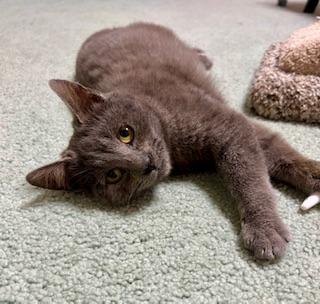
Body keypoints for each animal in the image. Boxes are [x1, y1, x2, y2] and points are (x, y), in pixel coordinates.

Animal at [25, 22, 320, 260]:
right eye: (113, 175)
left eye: (125, 132)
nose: (146, 163)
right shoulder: (236, 127)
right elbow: (265, 159)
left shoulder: (228, 124)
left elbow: (250, 176)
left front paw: (265, 230)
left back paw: (203, 56)